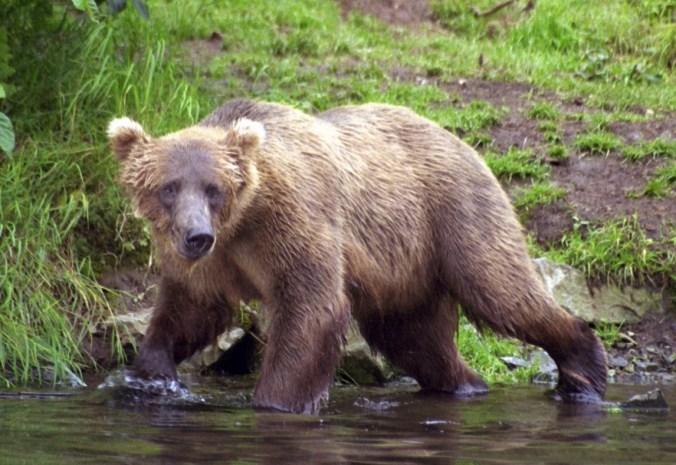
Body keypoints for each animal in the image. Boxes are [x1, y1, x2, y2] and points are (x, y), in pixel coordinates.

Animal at [108, 99, 607, 414]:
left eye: (214, 188)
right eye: (169, 188)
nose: (197, 236)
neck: (242, 223)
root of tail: (461, 140)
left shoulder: (294, 222)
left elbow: (311, 307)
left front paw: (276, 401)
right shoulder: (210, 262)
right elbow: (190, 309)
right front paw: (151, 372)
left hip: (455, 216)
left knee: (502, 290)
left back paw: (584, 371)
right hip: (407, 270)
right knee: (416, 339)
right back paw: (465, 384)